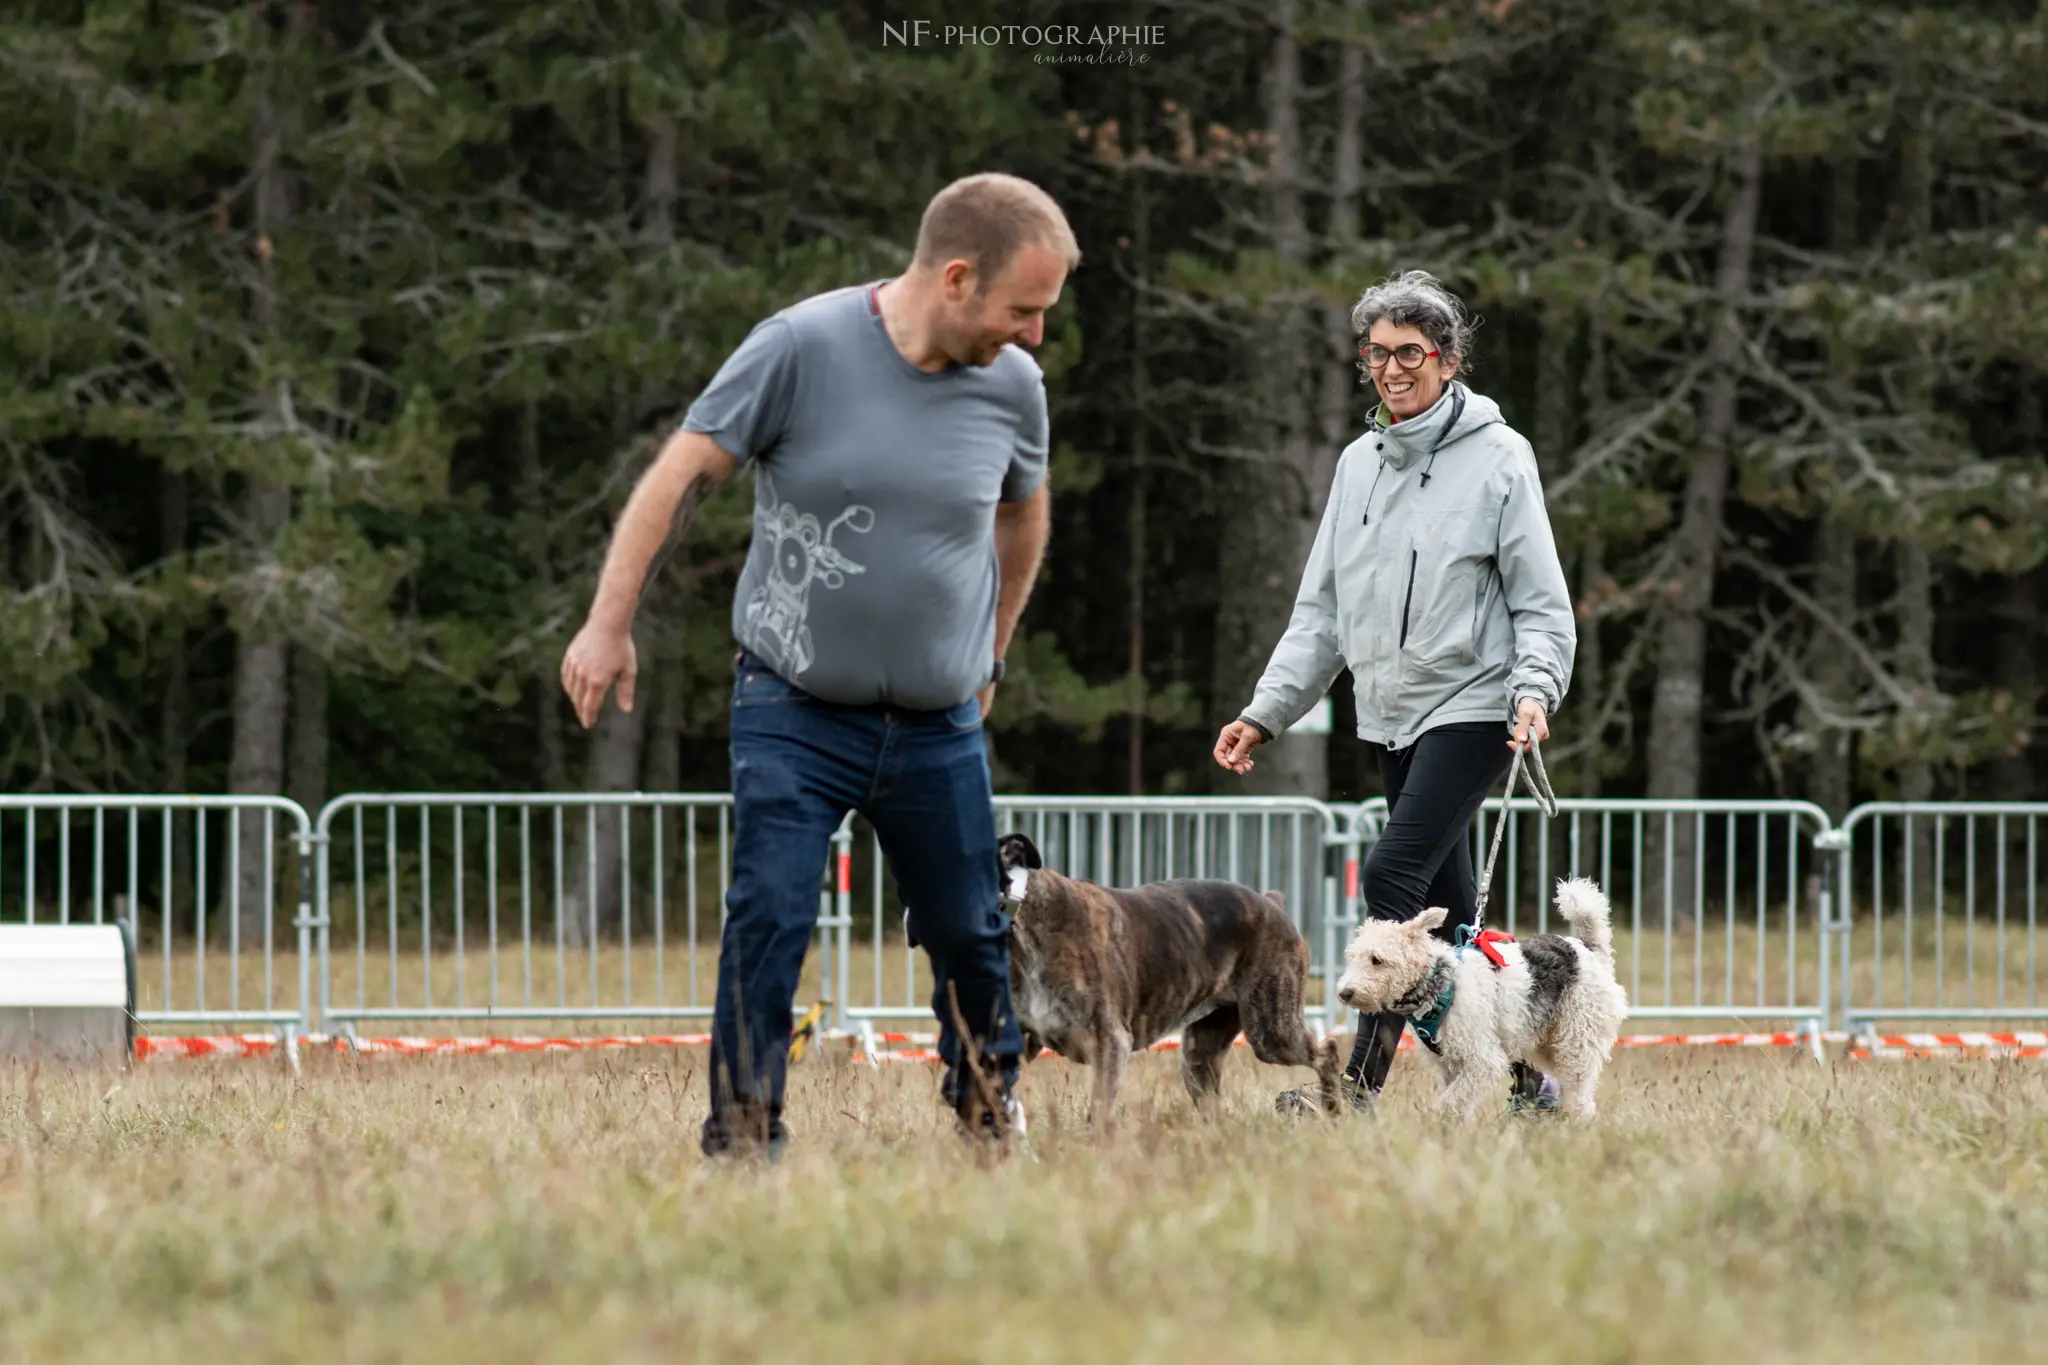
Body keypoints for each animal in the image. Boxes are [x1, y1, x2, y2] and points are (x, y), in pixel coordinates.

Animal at [995, 834, 1343, 1129]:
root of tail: (1271, 903)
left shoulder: (1109, 1043)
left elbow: (1098, 1113)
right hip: (1200, 1056)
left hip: (1272, 1032)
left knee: (1326, 1051)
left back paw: (1333, 1108)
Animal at [1327, 875, 1630, 1121]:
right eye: (1352, 957)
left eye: (1377, 960)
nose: (1345, 993)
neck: (1439, 984)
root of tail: (1587, 949)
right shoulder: (1450, 1063)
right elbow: (1457, 1101)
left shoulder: (1481, 1059)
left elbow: (1451, 1101)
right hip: (1548, 1041)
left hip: (1576, 1039)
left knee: (1582, 1095)